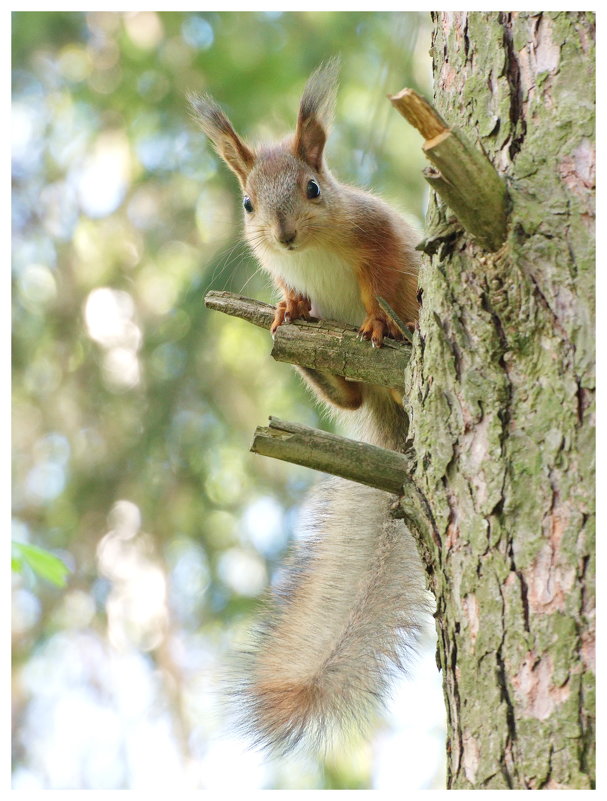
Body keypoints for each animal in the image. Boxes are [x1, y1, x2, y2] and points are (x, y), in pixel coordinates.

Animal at [188, 59, 430, 752]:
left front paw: (377, 320)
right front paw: (288, 305)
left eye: (314, 188)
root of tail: (394, 424)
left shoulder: (382, 240)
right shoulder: (279, 266)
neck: (313, 255)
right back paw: (312, 359)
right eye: (247, 203)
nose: (285, 235)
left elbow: (385, 281)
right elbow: (286, 288)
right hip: (347, 387)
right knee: (346, 393)